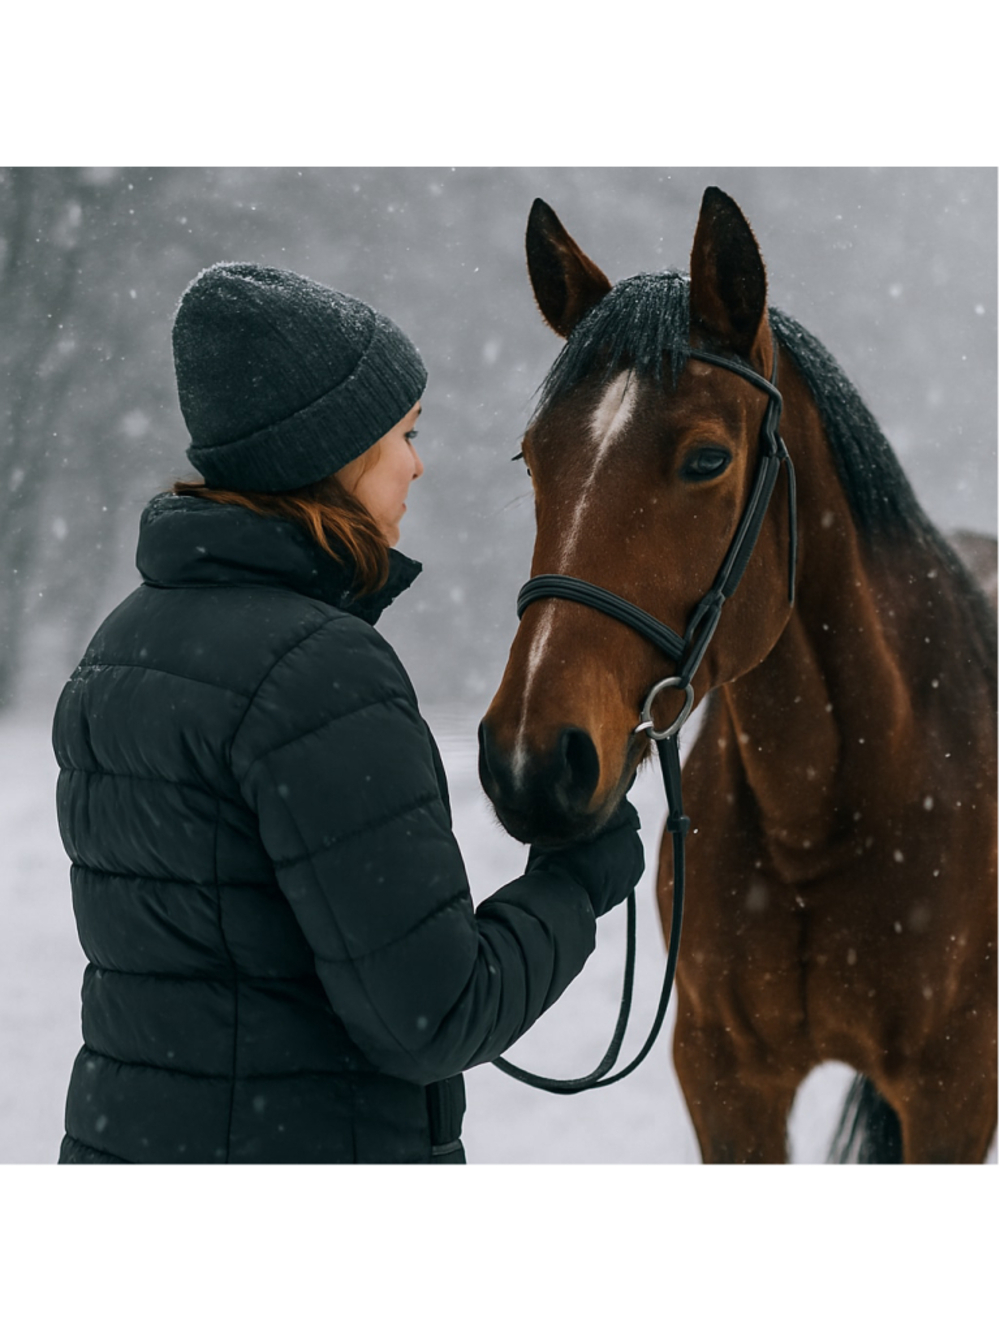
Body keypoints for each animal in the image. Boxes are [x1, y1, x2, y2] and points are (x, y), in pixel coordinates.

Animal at [478, 187, 997, 1164]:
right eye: (534, 456)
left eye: (708, 459)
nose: (530, 759)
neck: (820, 816)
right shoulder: (724, 1079)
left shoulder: (954, 1089)